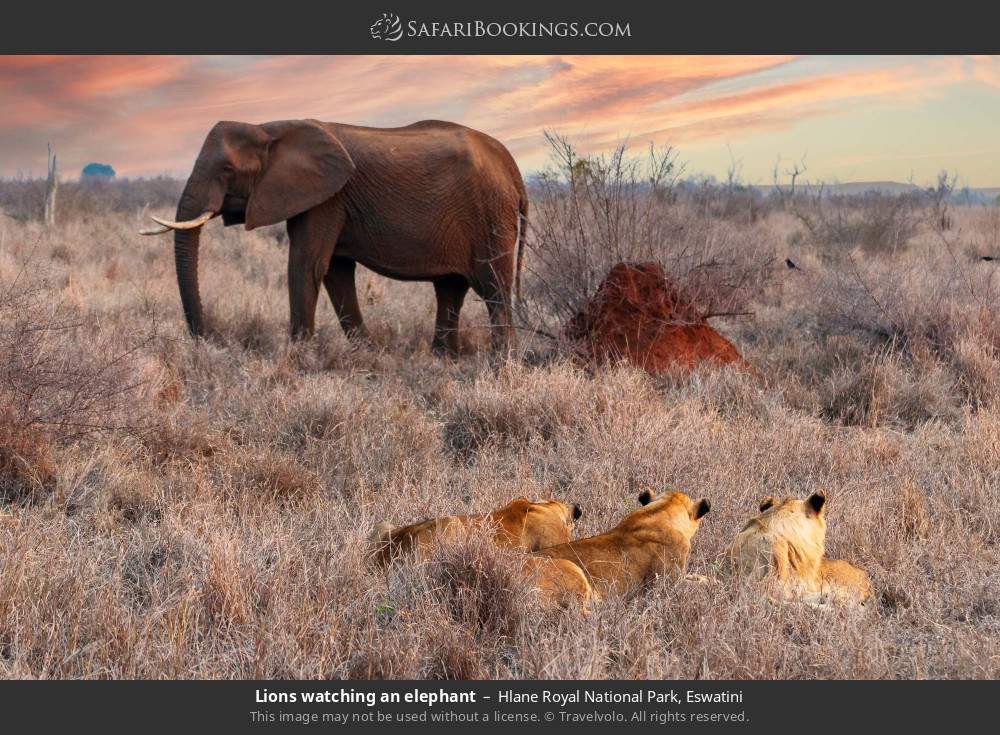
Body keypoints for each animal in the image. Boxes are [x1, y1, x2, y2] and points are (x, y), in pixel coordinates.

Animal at [143, 119, 532, 356]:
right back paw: (443, 358)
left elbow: (307, 265)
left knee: (493, 287)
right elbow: (335, 271)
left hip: (490, 214)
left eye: (227, 169)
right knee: (450, 288)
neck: (270, 128)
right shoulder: (324, 198)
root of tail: (512, 167)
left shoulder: (326, 199)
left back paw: (500, 363)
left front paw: (299, 358)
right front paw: (369, 354)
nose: (206, 339)